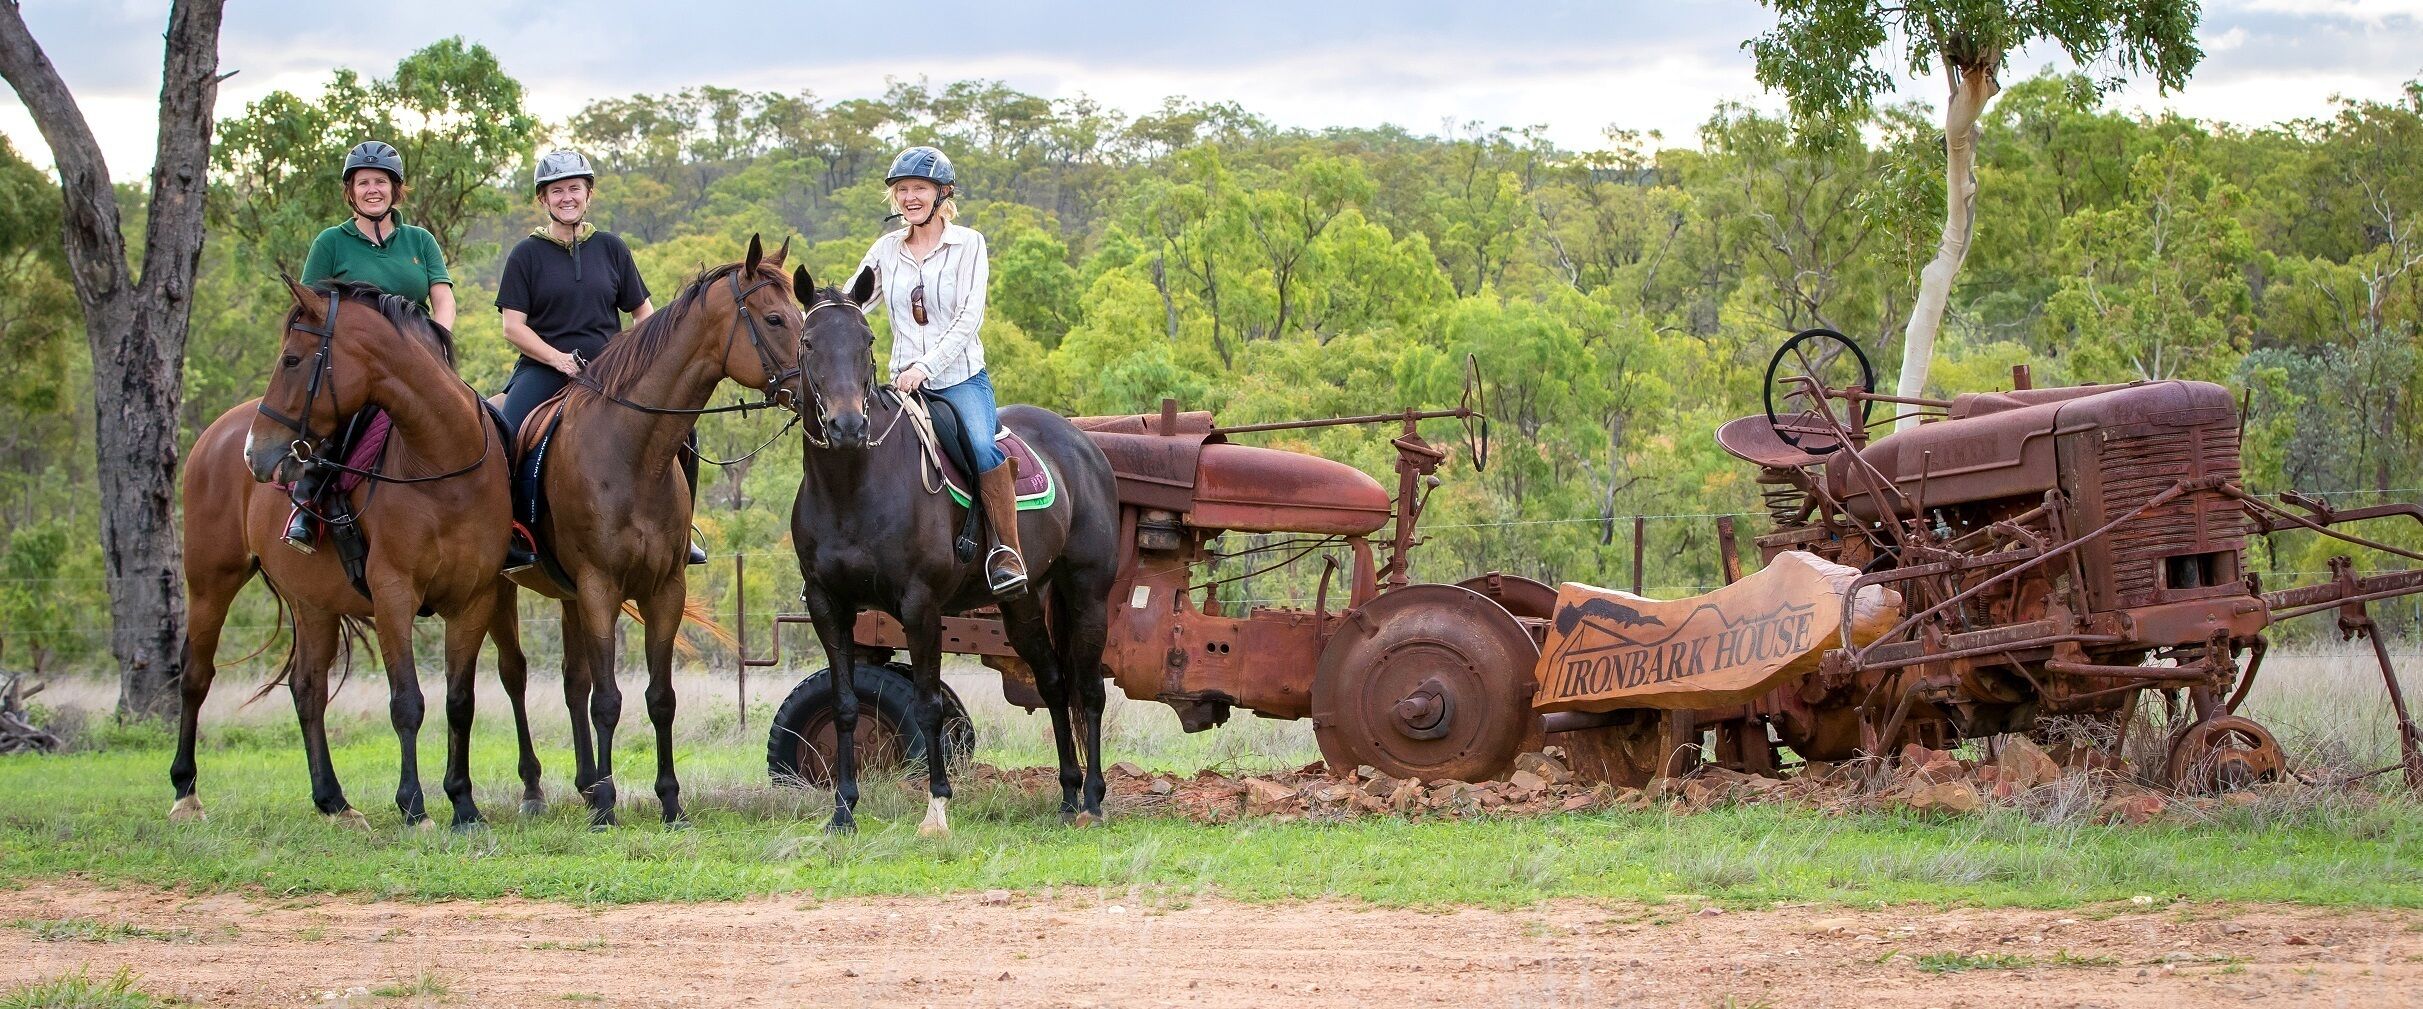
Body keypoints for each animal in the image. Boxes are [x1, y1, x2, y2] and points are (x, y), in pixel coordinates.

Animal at [170, 277, 530, 829]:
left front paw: (464, 805)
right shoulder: (393, 595)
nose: (256, 452)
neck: (443, 465)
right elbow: (407, 702)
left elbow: (459, 702)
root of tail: (217, 434)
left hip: (311, 603)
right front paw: (414, 807)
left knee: (307, 689)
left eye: (292, 360)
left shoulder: (474, 600)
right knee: (195, 676)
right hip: (211, 582)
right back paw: (185, 792)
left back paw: (333, 800)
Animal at [496, 236, 809, 829]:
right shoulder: (599, 588)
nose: (827, 389)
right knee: (516, 677)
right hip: (498, 593)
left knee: (572, 681)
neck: (632, 452)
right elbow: (608, 700)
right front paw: (606, 809)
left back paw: (585, 781)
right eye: (776, 318)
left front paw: (669, 801)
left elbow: (659, 697)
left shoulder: (665, 590)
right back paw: (532, 790)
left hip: (567, 597)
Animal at [789, 265, 1119, 834]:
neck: (852, 486)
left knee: (1089, 691)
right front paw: (843, 811)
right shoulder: (829, 606)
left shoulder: (919, 606)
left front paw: (938, 808)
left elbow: (928, 708)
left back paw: (1093, 802)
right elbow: (845, 704)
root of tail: (1084, 445)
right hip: (1022, 603)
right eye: (809, 342)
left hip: (1088, 594)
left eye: (866, 339)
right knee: (1055, 684)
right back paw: (1067, 796)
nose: (848, 426)